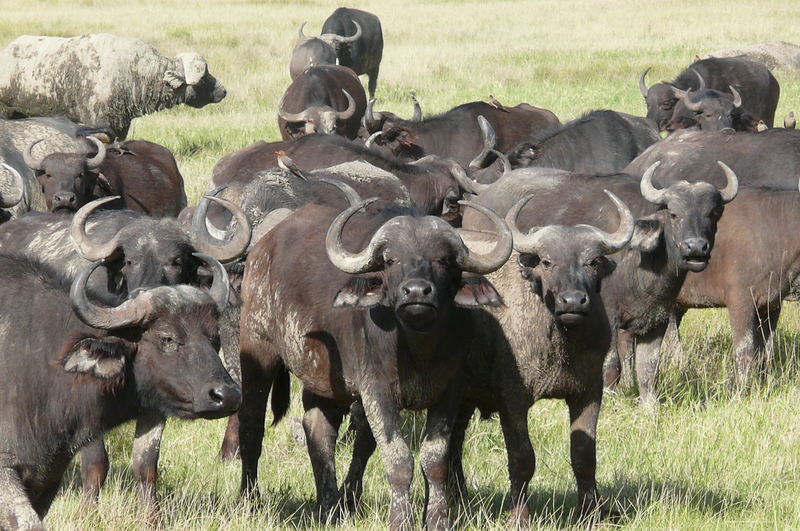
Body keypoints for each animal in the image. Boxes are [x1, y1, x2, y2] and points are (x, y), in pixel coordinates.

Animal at [238, 189, 512, 528]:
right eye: (391, 260)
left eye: (443, 260)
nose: (416, 292)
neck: (418, 349)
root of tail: (261, 249)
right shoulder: (376, 391)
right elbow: (399, 458)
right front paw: (401, 520)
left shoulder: (450, 392)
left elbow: (435, 459)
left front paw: (437, 518)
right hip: (257, 349)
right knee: (251, 426)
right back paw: (249, 500)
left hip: (325, 379)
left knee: (319, 431)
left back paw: (330, 507)